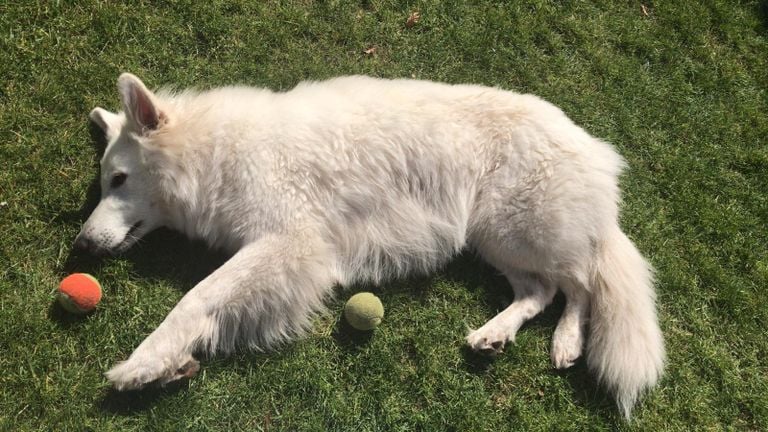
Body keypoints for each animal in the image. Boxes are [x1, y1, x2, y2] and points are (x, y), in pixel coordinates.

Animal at [79, 72, 664, 416]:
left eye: (119, 180)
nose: (81, 245)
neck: (213, 153)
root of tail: (591, 147)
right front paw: (173, 366)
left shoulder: (289, 243)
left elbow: (196, 297)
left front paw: (146, 362)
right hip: (493, 240)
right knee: (541, 292)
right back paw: (494, 335)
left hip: (519, 230)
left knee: (582, 284)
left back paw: (566, 342)